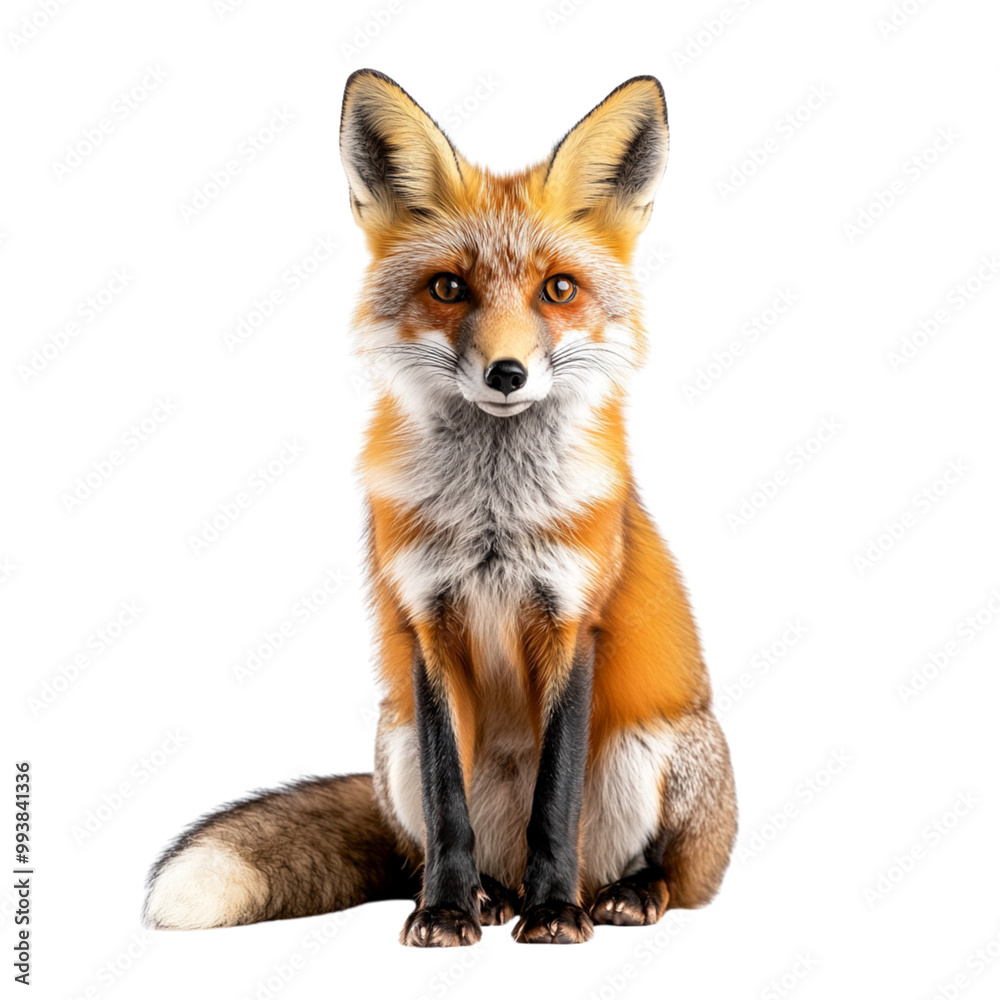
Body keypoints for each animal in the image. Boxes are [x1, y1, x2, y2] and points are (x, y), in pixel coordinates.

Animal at [144, 69, 737, 946]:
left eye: (558, 290)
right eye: (449, 288)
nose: (507, 373)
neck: (493, 515)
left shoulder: (571, 619)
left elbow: (555, 800)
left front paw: (555, 915)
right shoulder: (426, 624)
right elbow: (447, 800)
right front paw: (447, 910)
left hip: (655, 746)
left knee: (679, 879)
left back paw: (614, 893)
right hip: (390, 745)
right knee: (437, 839)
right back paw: (490, 894)